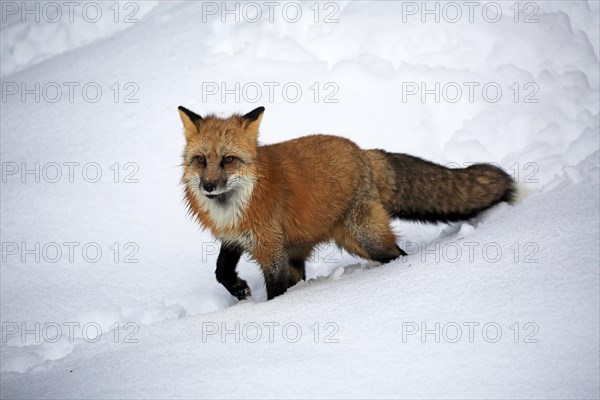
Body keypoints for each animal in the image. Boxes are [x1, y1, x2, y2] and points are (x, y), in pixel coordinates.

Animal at [178, 106, 516, 300]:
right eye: (201, 160)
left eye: (228, 160)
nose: (208, 186)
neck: (234, 206)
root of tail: (363, 151)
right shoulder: (236, 237)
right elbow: (221, 270)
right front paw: (239, 289)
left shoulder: (271, 248)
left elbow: (275, 292)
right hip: (321, 248)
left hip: (365, 238)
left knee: (398, 255)